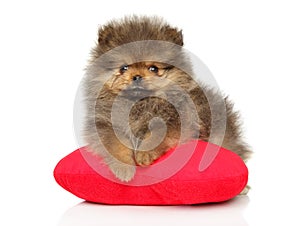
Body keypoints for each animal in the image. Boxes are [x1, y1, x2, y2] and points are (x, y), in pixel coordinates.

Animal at [82, 15, 251, 183]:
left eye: (153, 68)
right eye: (124, 68)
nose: (137, 77)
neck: (139, 103)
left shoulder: (174, 121)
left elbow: (155, 135)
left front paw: (144, 154)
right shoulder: (105, 124)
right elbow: (116, 145)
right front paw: (124, 169)